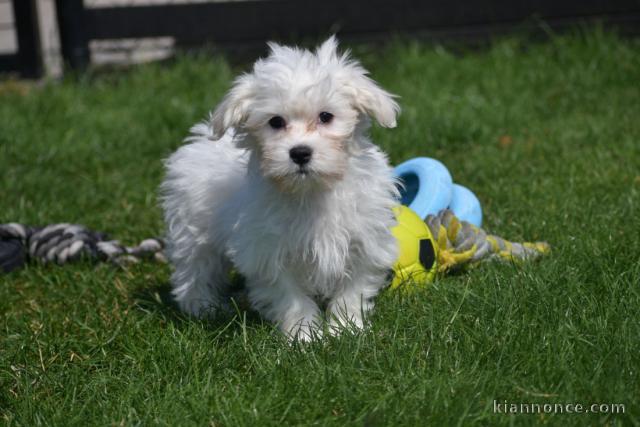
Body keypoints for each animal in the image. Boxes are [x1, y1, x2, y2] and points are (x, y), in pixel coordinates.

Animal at [161, 36, 400, 342]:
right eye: (275, 121)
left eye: (326, 116)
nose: (299, 153)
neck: (311, 190)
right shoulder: (268, 251)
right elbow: (291, 296)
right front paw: (304, 336)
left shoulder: (364, 241)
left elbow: (352, 289)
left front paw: (345, 329)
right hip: (193, 228)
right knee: (196, 268)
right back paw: (203, 306)